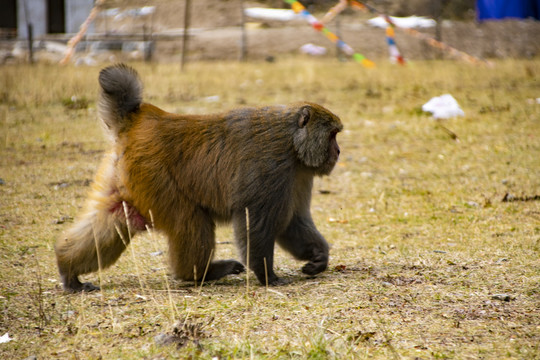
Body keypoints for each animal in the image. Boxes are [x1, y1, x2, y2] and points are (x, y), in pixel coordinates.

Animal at [53, 62, 342, 292]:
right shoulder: (272, 168)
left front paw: (318, 256)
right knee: (189, 219)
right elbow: (256, 223)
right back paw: (198, 274)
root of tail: (142, 117)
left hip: (129, 174)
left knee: (116, 217)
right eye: (332, 135)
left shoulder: (299, 175)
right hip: (155, 174)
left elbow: (293, 221)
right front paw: (267, 276)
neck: (292, 144)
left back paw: (69, 271)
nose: (338, 151)